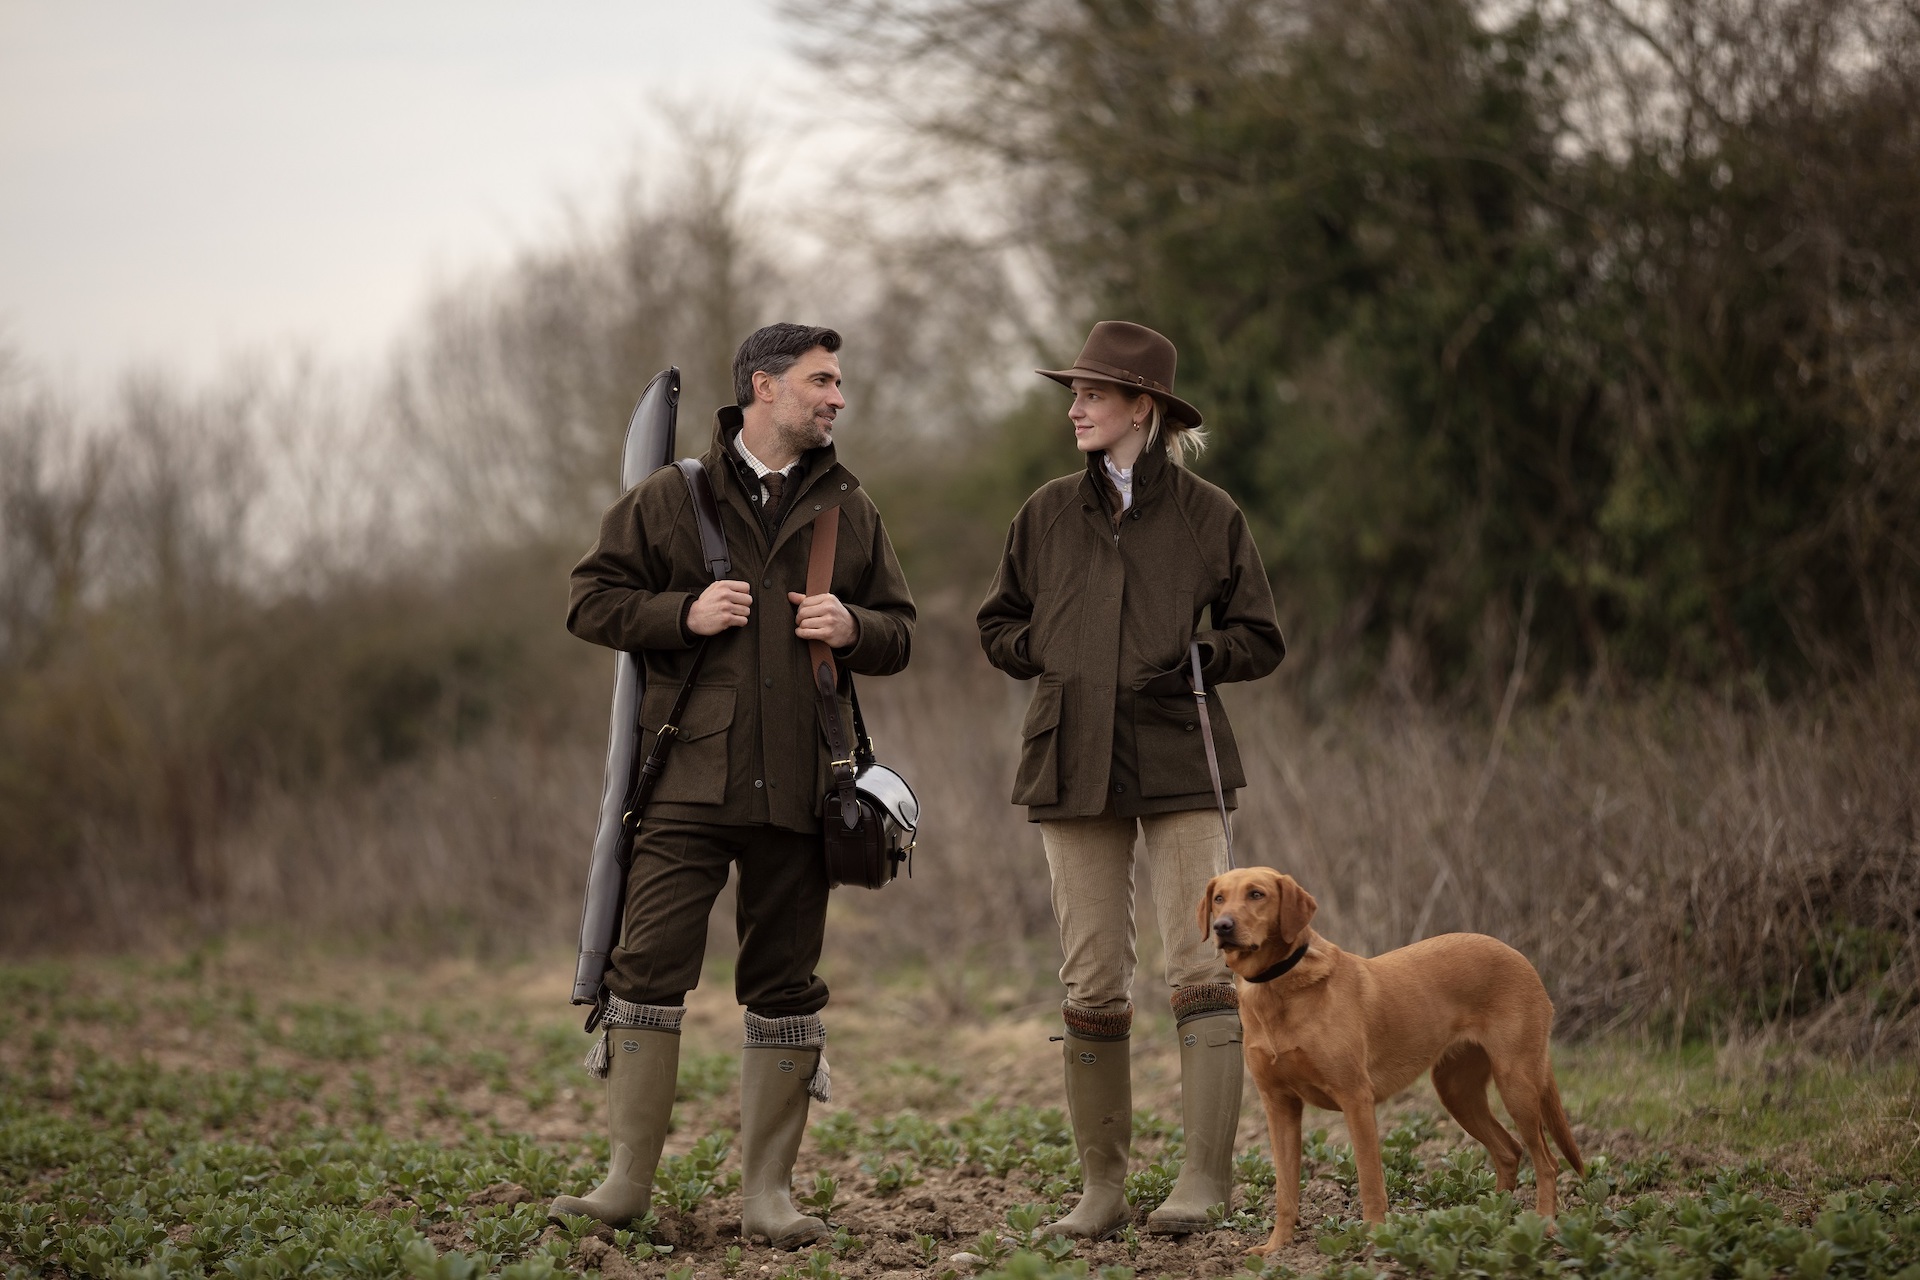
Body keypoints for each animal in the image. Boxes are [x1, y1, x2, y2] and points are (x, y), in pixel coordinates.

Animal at [1205, 867, 1582, 1258]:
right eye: (1219, 898)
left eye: (1256, 894)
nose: (1222, 926)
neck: (1277, 987)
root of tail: (1520, 957)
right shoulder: (1279, 1105)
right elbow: (1285, 1190)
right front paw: (1276, 1247)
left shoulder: (1356, 1098)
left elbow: (1370, 1180)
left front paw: (1374, 1240)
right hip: (1457, 1092)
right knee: (1509, 1151)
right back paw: (1490, 1218)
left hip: (1516, 1083)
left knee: (1547, 1162)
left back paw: (1543, 1225)